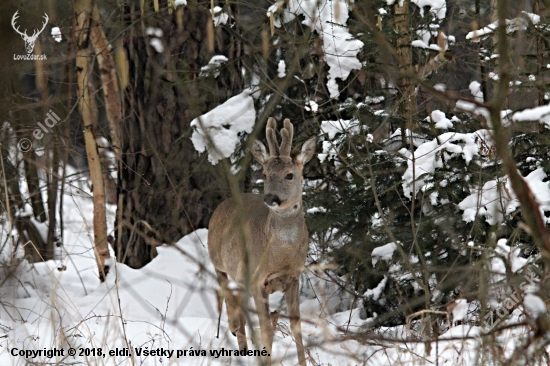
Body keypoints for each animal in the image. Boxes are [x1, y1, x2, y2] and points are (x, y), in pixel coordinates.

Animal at [208, 118, 320, 366]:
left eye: (290, 175)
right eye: (267, 174)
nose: (271, 198)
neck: (281, 256)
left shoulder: (294, 277)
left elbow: (296, 325)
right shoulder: (259, 279)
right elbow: (265, 328)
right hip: (219, 262)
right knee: (229, 300)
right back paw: (236, 338)